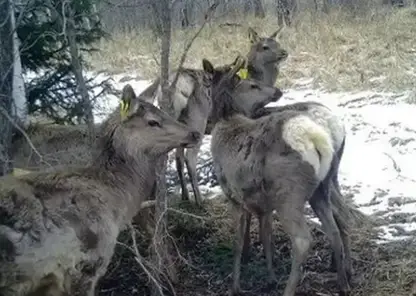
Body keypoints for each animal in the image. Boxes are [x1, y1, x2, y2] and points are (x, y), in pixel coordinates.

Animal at [208, 74, 352, 296]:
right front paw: (270, 275)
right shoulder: (263, 203)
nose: (277, 91)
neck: (227, 123)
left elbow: (238, 242)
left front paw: (235, 286)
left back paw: (290, 289)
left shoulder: (233, 195)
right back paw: (343, 281)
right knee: (335, 226)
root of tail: (316, 138)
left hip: (289, 194)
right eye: (253, 85)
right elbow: (266, 236)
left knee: (303, 239)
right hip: (322, 186)